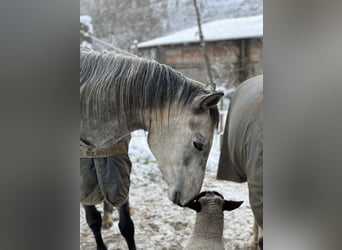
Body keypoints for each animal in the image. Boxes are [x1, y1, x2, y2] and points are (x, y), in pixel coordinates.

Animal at [80, 49, 224, 250]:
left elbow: (127, 226)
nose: (191, 200)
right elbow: (93, 220)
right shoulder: (83, 181)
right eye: (198, 144)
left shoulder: (119, 173)